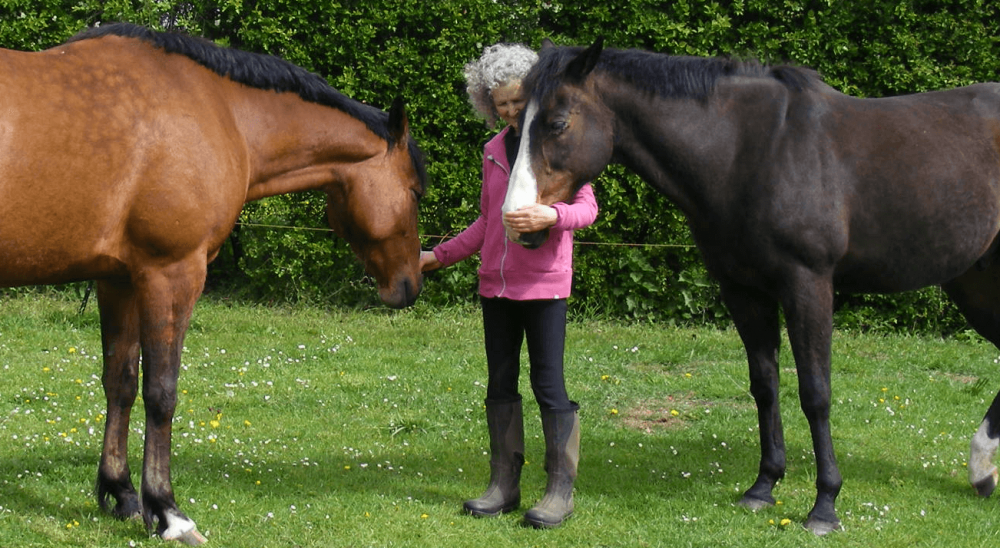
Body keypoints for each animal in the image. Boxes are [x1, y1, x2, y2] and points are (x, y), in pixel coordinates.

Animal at [0, 23, 427, 544]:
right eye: (414, 191)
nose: (410, 283)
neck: (224, 113)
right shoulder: (171, 273)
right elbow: (161, 392)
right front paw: (167, 511)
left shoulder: (118, 279)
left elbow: (119, 383)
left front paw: (122, 495)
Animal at [505, 38, 1000, 535]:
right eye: (516, 123)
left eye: (558, 123)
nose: (519, 223)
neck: (751, 151)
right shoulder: (742, 291)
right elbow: (765, 385)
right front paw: (764, 486)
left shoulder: (808, 285)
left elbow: (816, 393)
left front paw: (825, 505)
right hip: (973, 283)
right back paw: (981, 471)